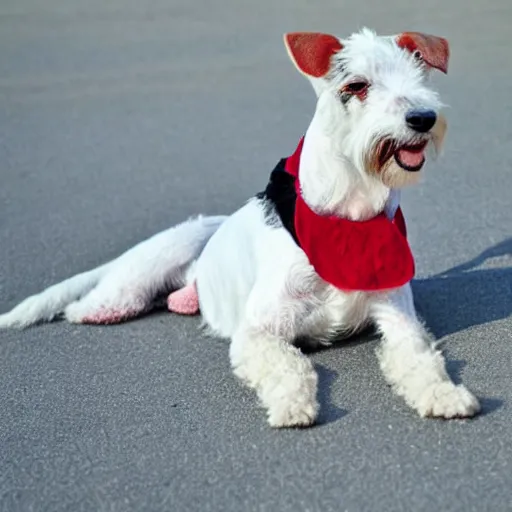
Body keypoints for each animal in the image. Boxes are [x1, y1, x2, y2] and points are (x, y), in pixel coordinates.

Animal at [0, 28, 480, 428]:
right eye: (357, 86)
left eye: (420, 76)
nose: (422, 118)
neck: (346, 221)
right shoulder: (258, 333)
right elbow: (290, 366)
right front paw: (292, 405)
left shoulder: (401, 319)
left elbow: (421, 359)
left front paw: (445, 395)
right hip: (140, 274)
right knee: (84, 304)